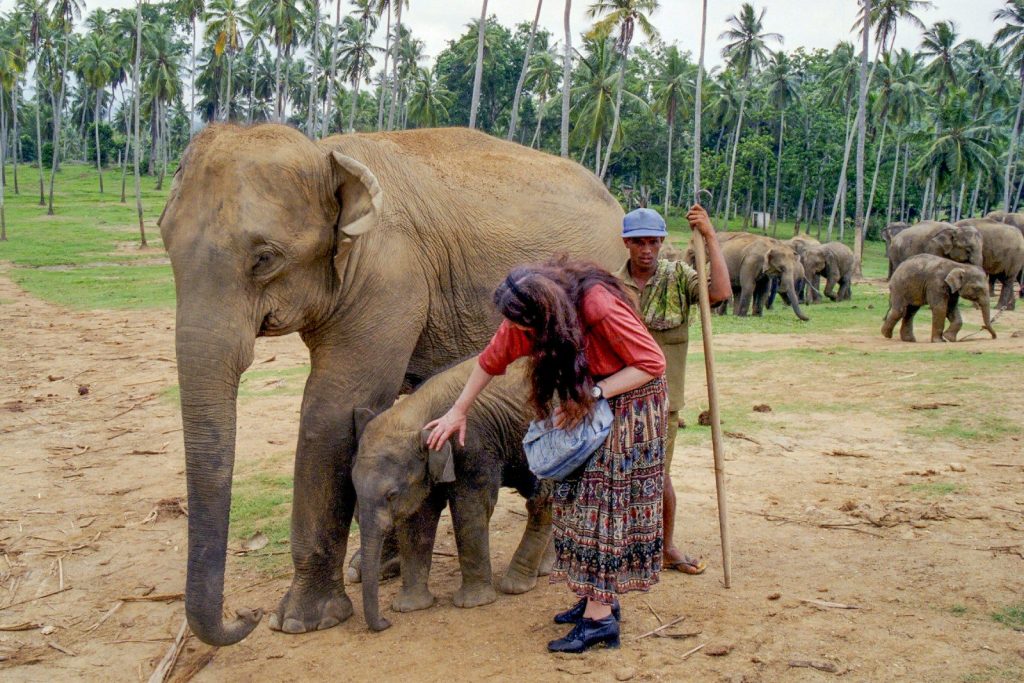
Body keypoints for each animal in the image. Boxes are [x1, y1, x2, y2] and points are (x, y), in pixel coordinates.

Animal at [352, 358, 551, 632]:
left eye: (392, 494)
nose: (385, 622)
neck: (417, 411)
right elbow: (418, 518)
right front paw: (409, 607)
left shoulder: (472, 446)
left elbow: (470, 508)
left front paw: (473, 604)